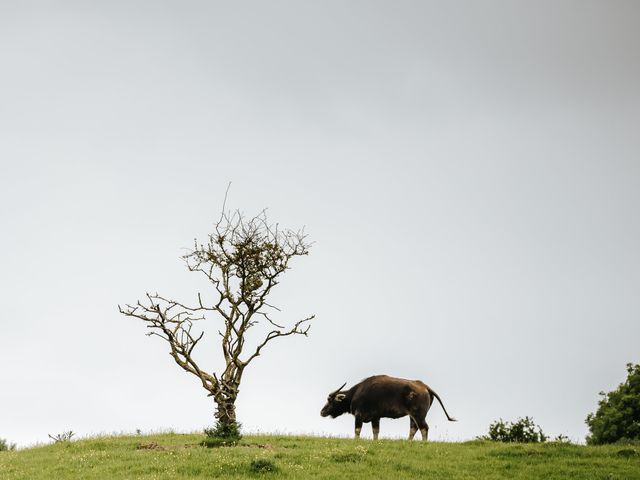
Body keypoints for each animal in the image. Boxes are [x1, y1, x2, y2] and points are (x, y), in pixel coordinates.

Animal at [320, 374, 456, 440]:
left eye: (330, 400)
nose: (322, 411)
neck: (356, 393)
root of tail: (424, 386)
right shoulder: (376, 418)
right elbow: (376, 432)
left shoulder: (359, 416)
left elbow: (357, 431)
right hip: (413, 416)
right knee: (413, 429)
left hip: (418, 415)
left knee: (424, 428)